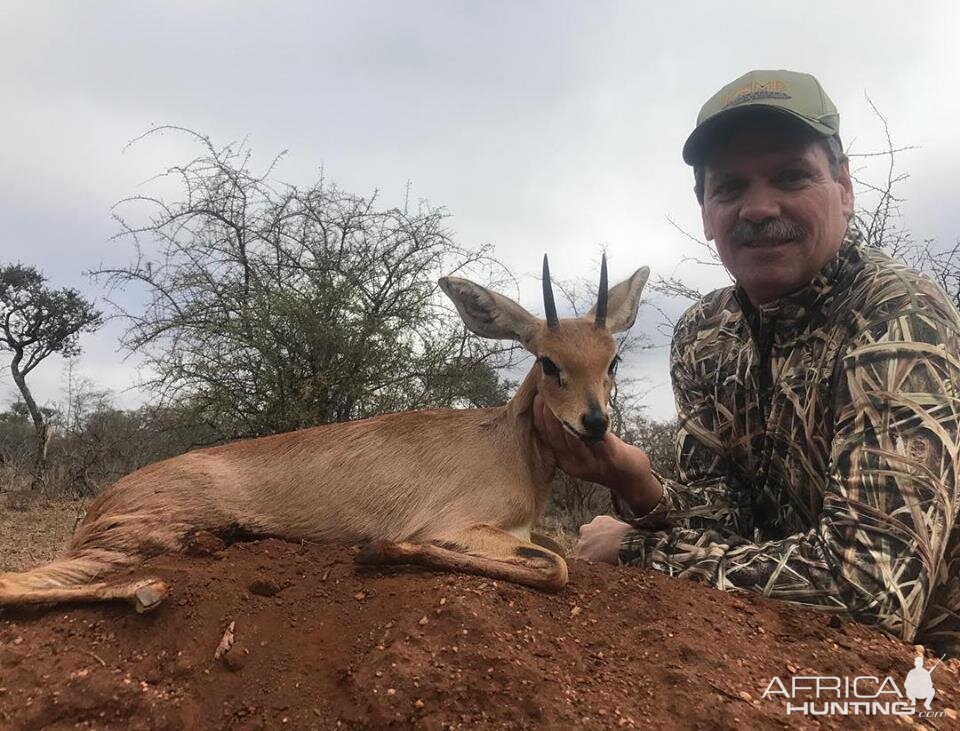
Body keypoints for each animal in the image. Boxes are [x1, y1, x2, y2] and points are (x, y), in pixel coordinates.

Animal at [0, 256, 648, 612]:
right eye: (548, 362)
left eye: (612, 360)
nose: (595, 423)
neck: (506, 447)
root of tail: (105, 499)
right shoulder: (458, 527)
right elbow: (556, 566)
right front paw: (380, 549)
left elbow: (556, 557)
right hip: (132, 540)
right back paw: (146, 592)